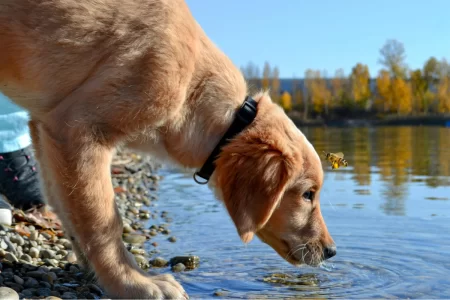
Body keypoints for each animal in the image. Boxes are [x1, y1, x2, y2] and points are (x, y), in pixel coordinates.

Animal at [0, 0, 336, 296]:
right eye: (308, 194)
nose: (332, 251)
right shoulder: (79, 129)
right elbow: (102, 222)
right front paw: (132, 283)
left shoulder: (47, 129)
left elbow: (67, 206)